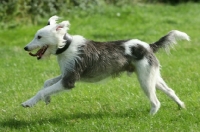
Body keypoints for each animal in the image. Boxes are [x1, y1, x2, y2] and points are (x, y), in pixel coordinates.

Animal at [22, 15, 190, 114]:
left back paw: (150, 117)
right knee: (170, 91)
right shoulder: (66, 75)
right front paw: (47, 99)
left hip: (145, 80)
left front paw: (29, 102)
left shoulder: (68, 81)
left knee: (156, 102)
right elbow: (46, 83)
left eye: (39, 37)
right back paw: (181, 106)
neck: (67, 46)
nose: (25, 48)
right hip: (153, 77)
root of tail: (148, 46)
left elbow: (42, 91)